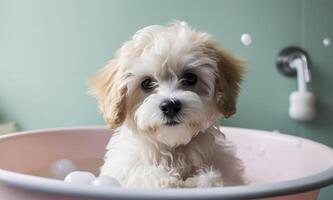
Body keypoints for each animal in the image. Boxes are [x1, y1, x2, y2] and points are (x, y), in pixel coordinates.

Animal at [89, 21, 245, 188]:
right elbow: (142, 174)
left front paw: (199, 181)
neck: (173, 149)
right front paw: (165, 180)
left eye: (190, 78)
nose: (170, 106)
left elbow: (216, 178)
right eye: (146, 83)